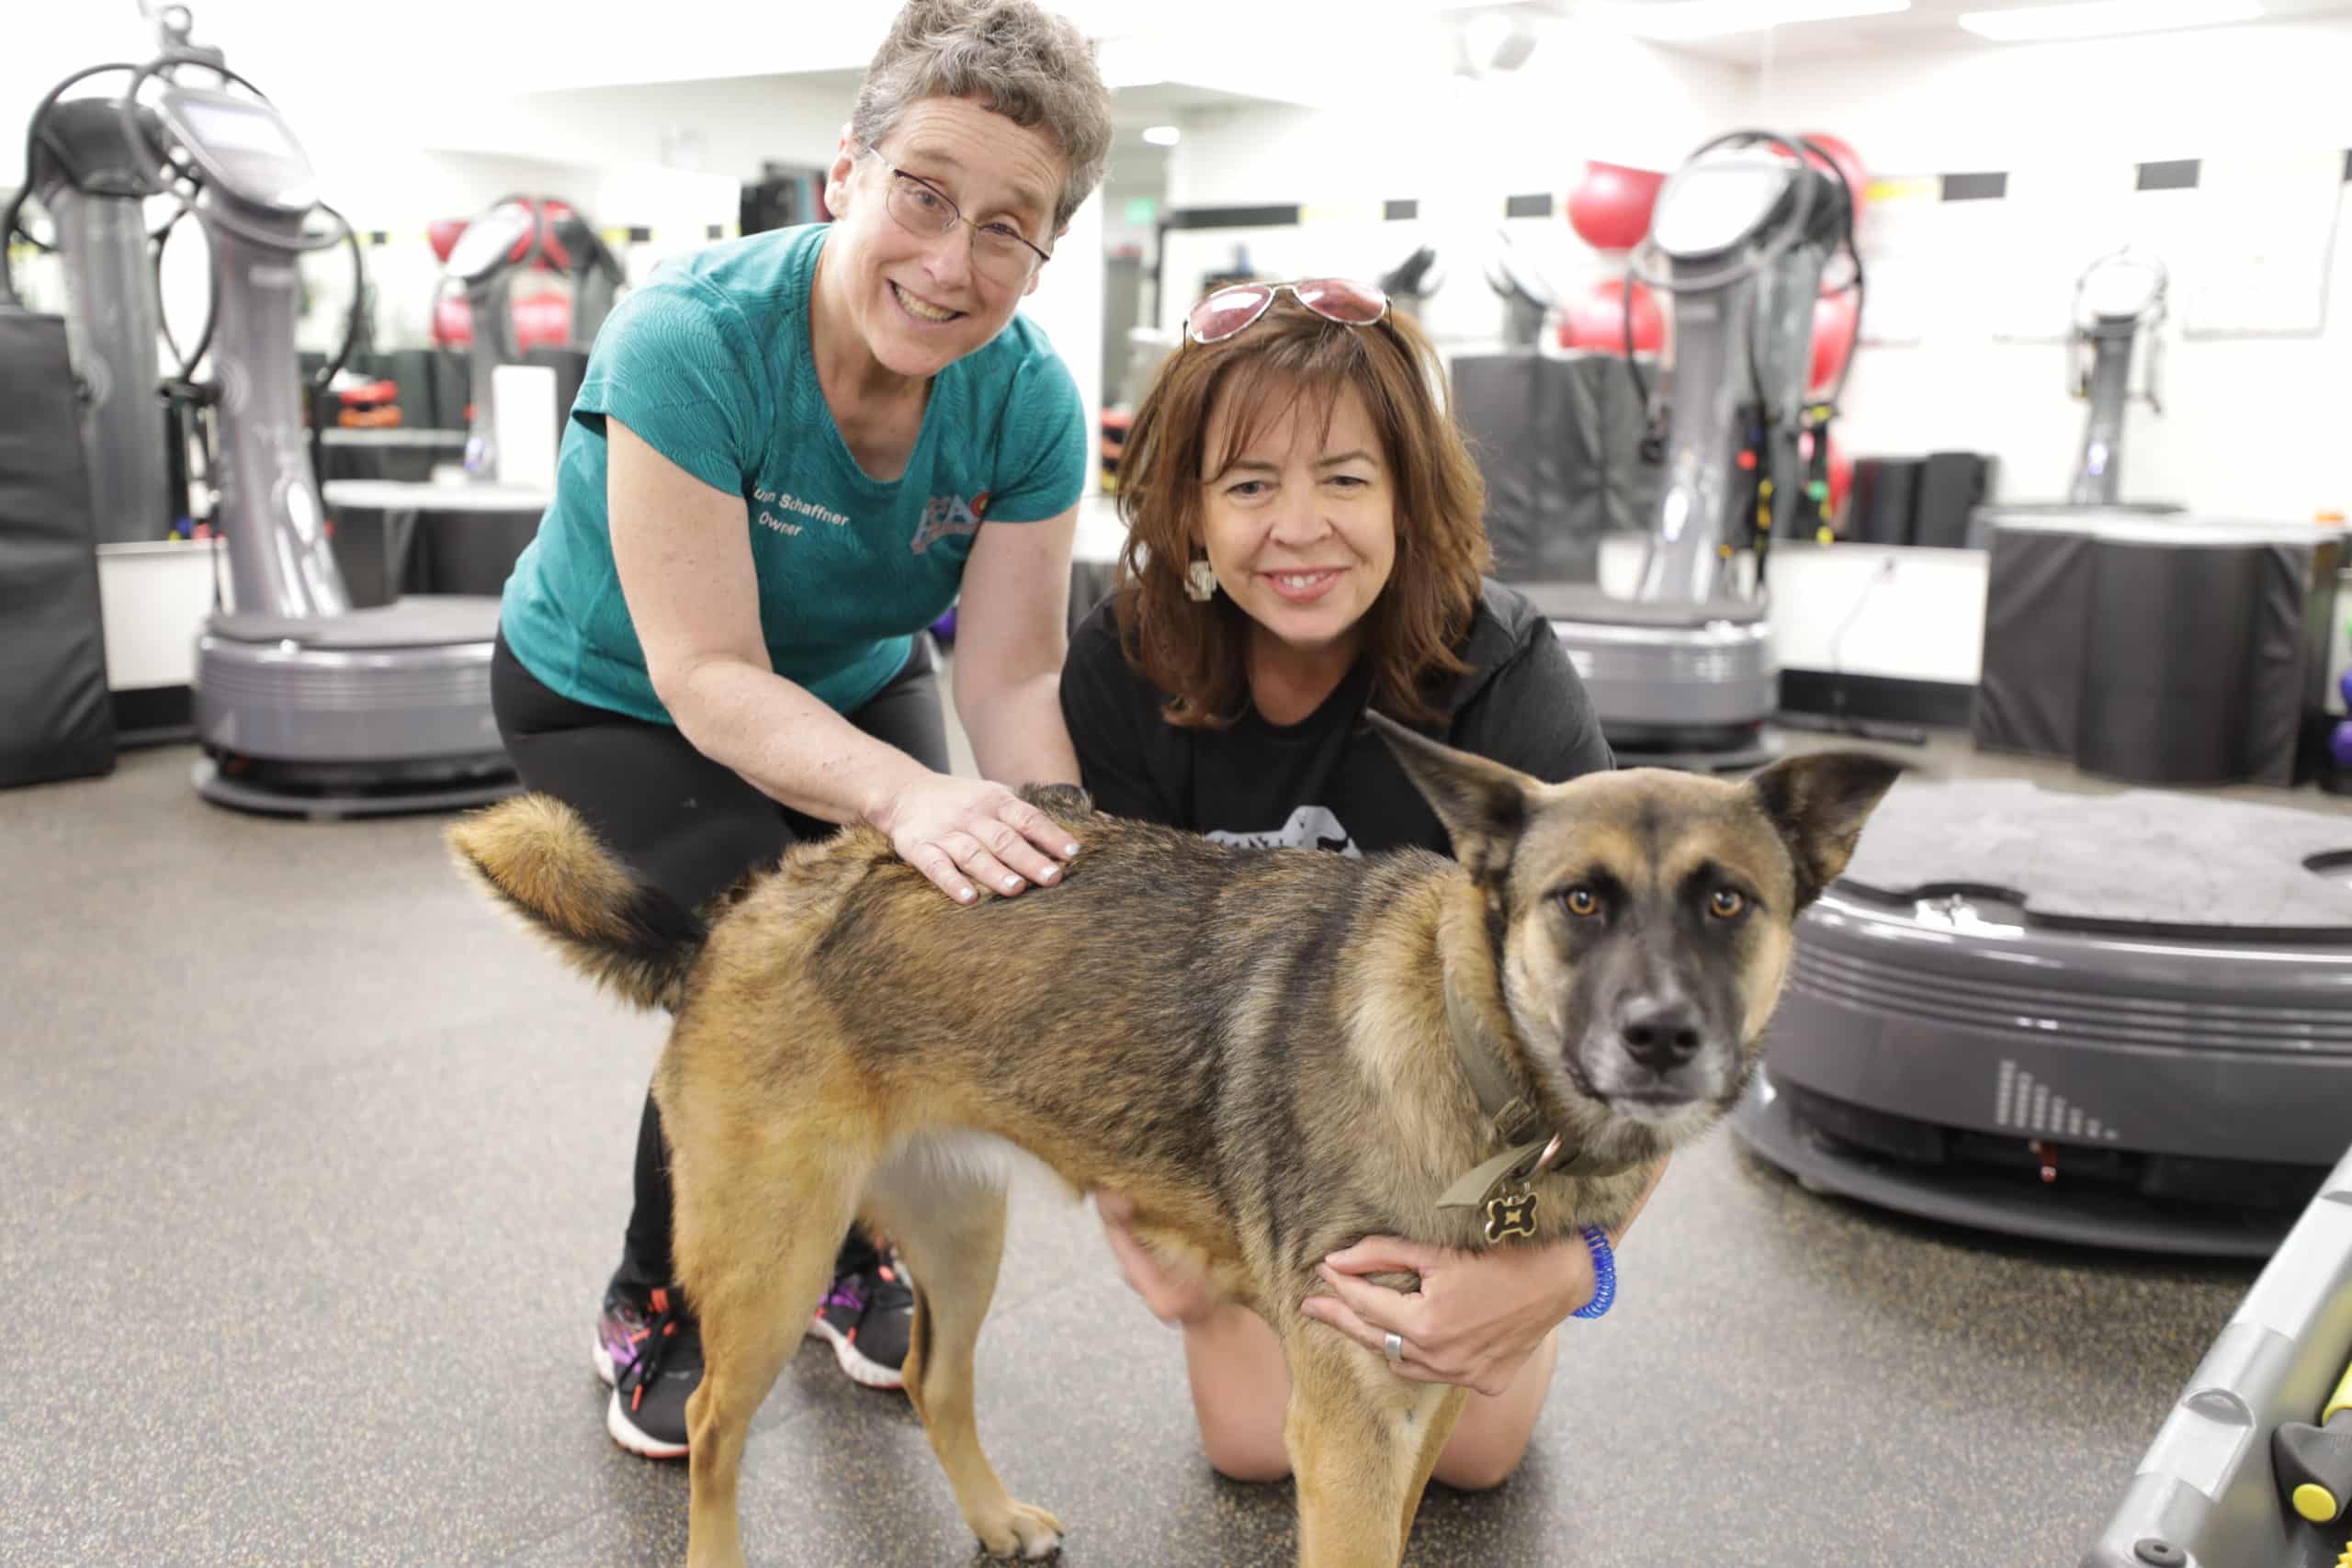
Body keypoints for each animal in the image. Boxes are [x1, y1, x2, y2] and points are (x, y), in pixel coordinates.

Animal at [448, 719, 1900, 1561]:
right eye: (1579, 902)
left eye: (1727, 901)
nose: (1662, 1040)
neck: (1477, 1061)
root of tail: (740, 915)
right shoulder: (1347, 1434)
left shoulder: (1422, 1398)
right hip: (768, 1266)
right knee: (714, 1440)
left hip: (961, 1238)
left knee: (932, 1379)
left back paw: (991, 1518)